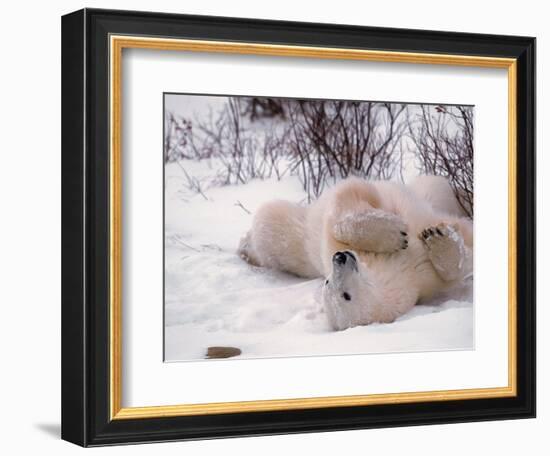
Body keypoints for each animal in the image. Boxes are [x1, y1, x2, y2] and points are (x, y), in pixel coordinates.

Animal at [239, 175, 476, 332]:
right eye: (345, 295)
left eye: (328, 282)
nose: (340, 257)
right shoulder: (419, 280)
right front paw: (436, 239)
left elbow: (346, 200)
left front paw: (409, 233)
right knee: (272, 223)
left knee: (435, 186)